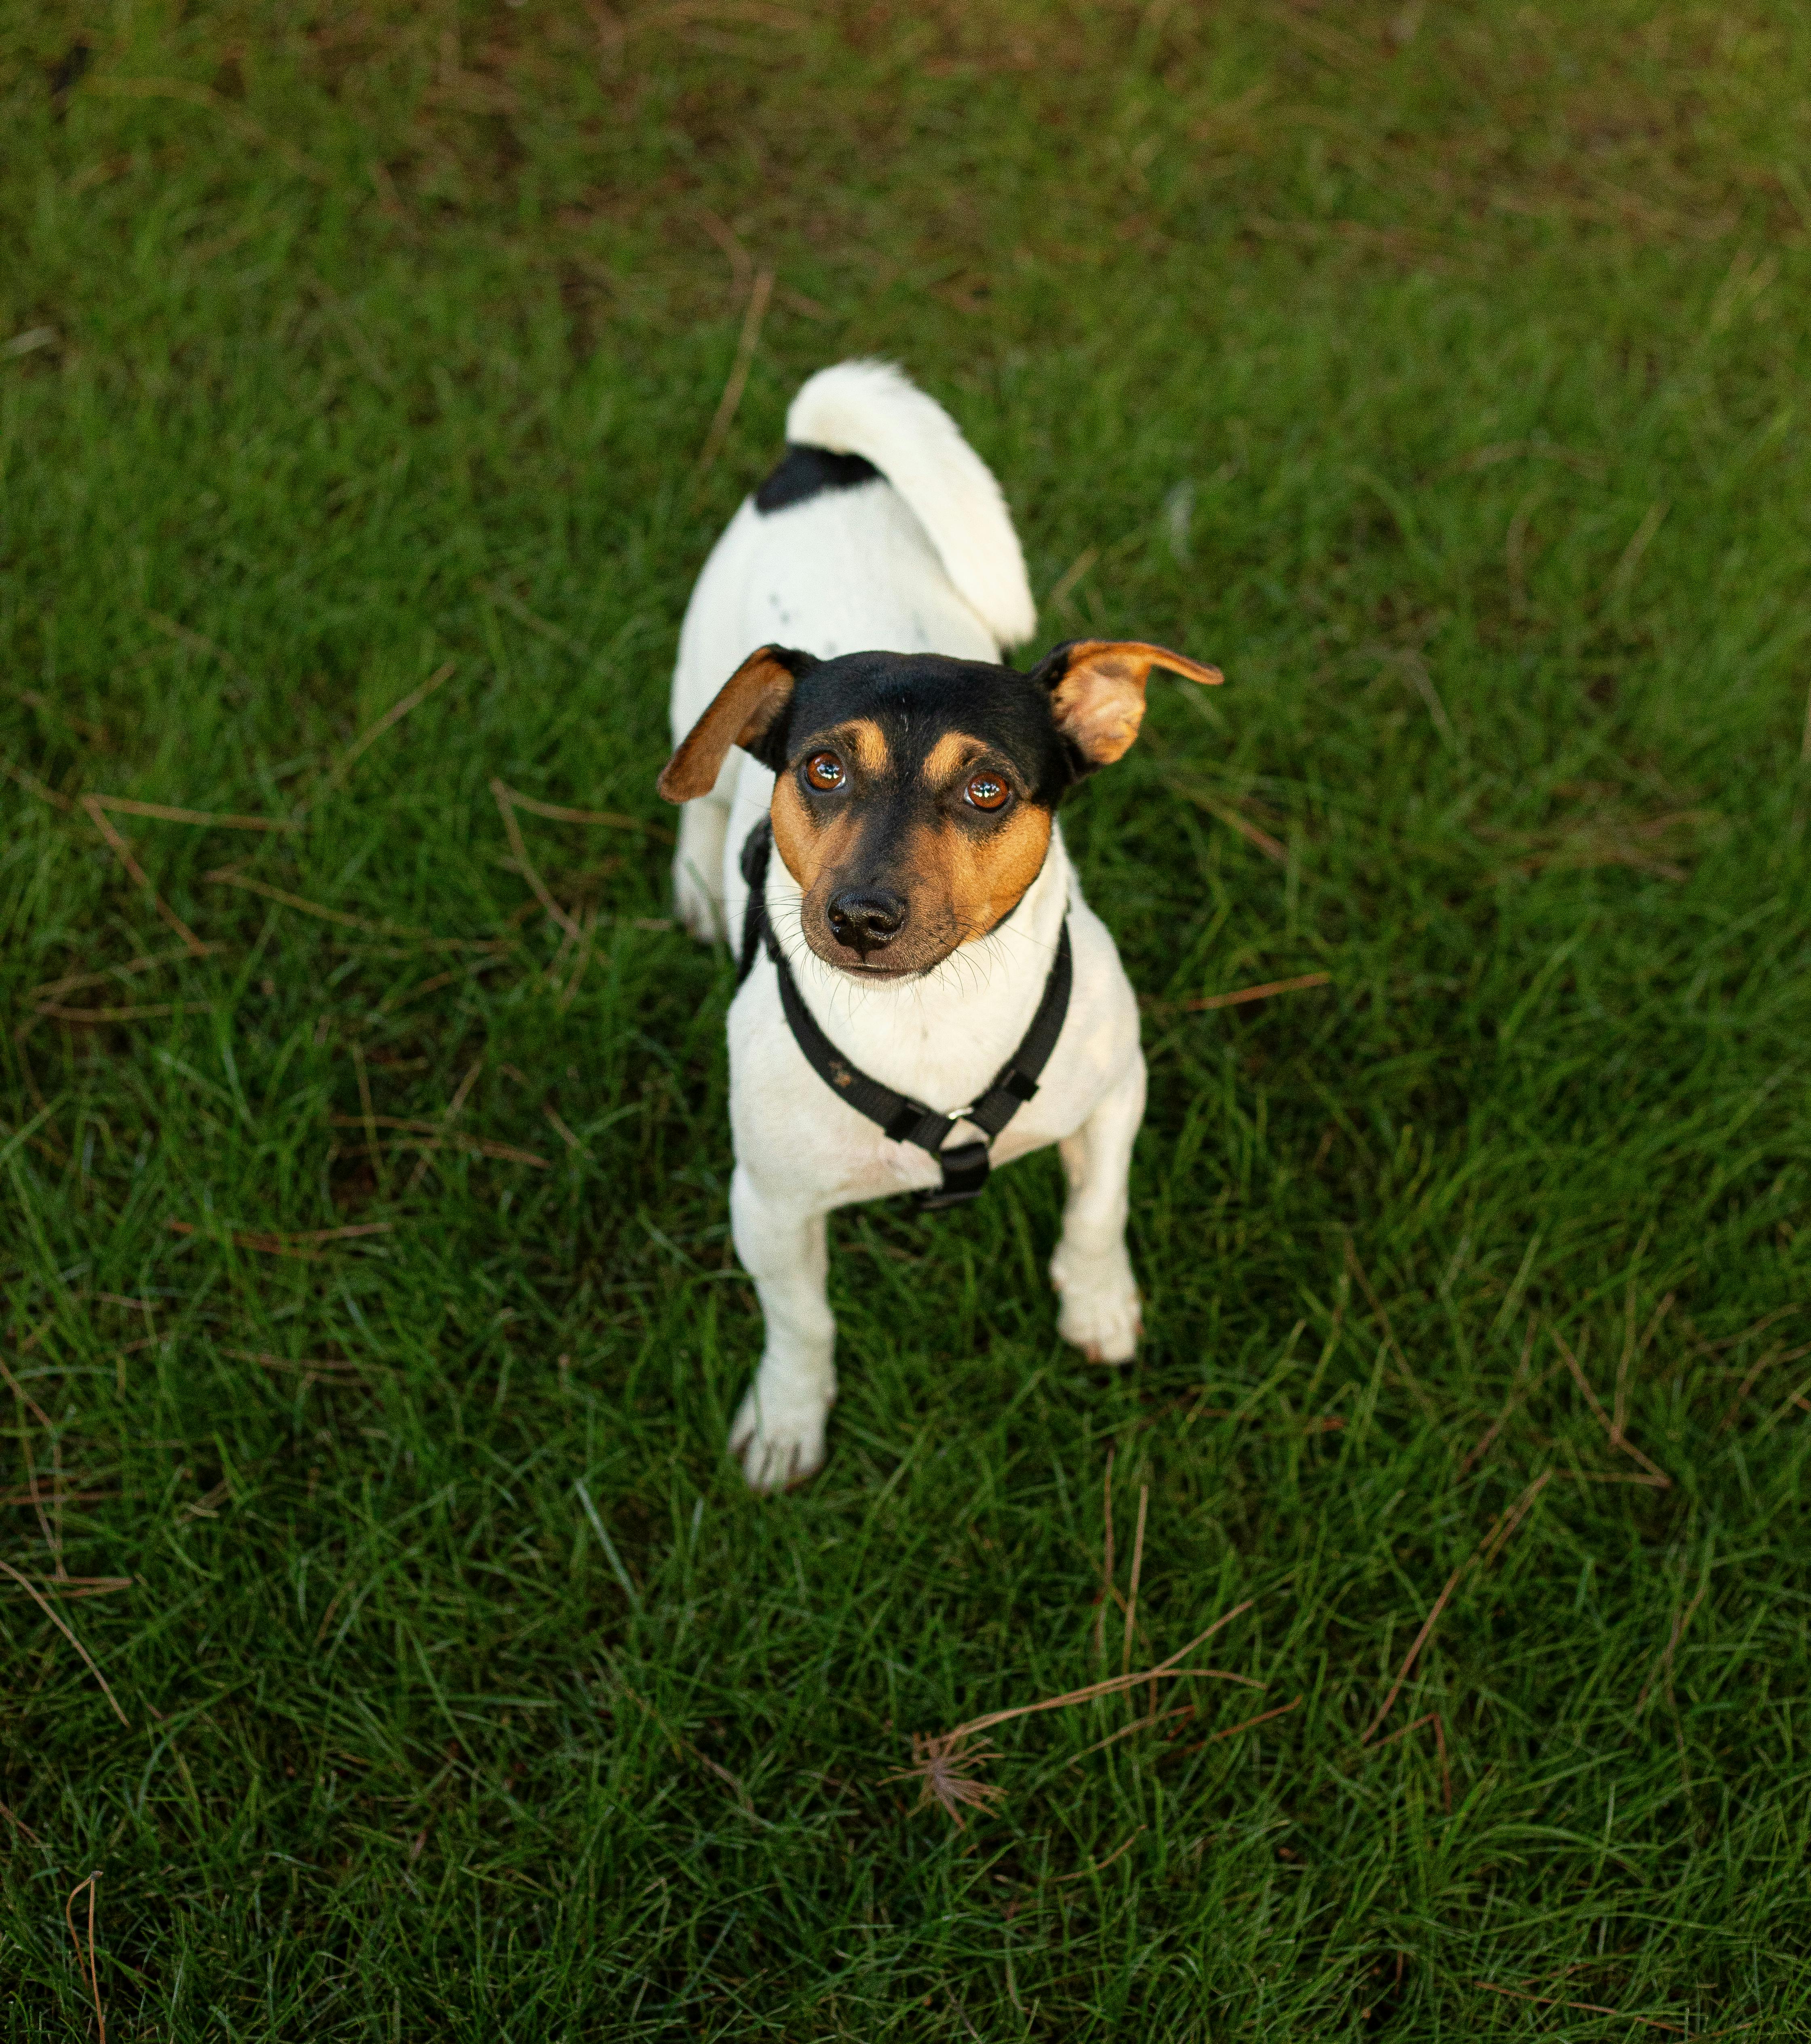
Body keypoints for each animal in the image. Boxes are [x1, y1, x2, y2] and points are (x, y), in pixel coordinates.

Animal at [658, 360, 1226, 1496]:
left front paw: (1098, 1304)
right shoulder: (768, 1206)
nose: (862, 916)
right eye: (821, 768)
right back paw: (697, 878)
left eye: (988, 788)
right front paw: (787, 1419)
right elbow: (803, 1326)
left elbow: (1098, 1212)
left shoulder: (1118, 1092)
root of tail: (819, 459)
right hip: (694, 687)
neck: (928, 1017)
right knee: (698, 789)